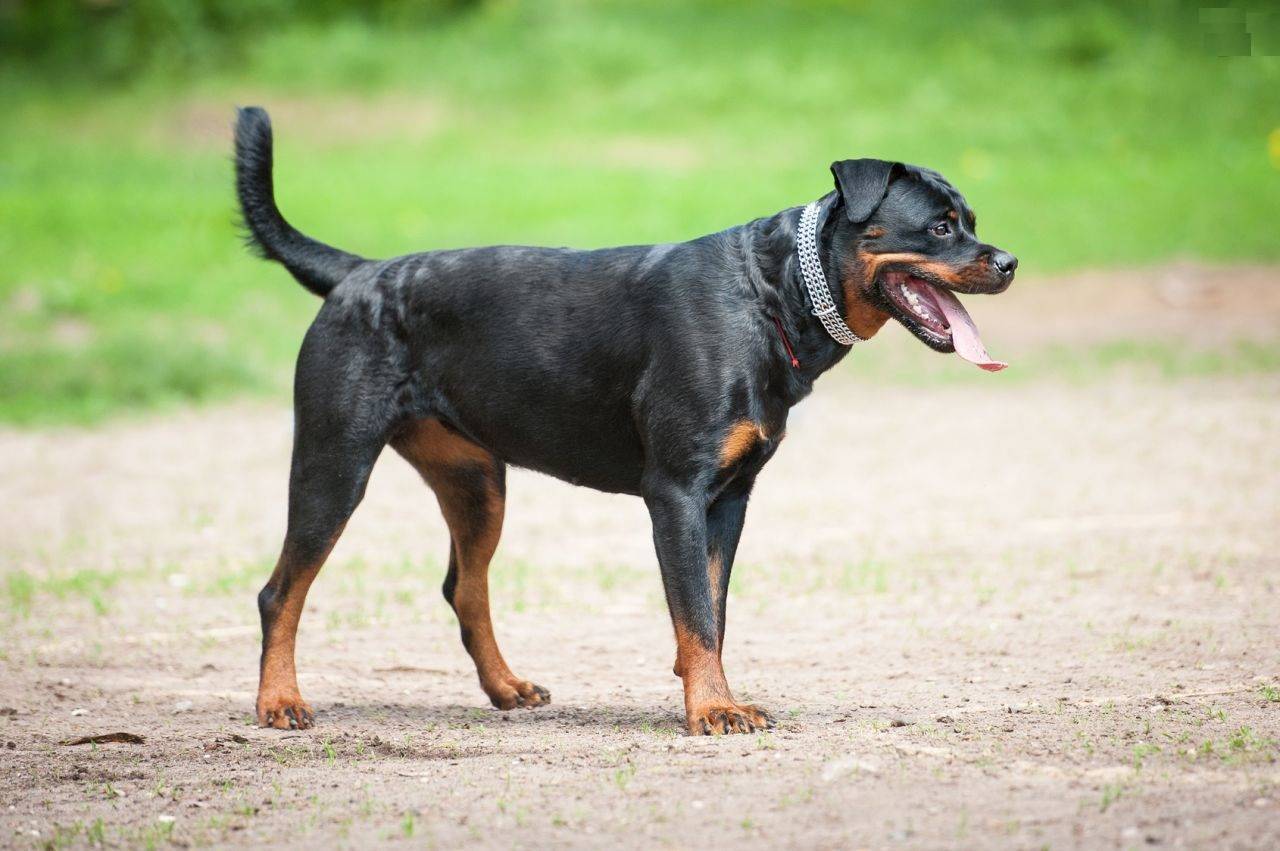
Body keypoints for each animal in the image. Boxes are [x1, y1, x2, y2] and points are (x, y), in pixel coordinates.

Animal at [238, 104, 1018, 731]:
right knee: (282, 591)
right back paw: (280, 701)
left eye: (973, 222)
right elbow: (696, 611)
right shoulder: (676, 490)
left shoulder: (730, 496)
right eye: (941, 225)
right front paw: (712, 709)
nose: (1009, 260)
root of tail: (358, 274)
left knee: (464, 587)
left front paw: (710, 693)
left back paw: (506, 687)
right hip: (335, 462)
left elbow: (711, 609)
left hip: (477, 481)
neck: (774, 293)